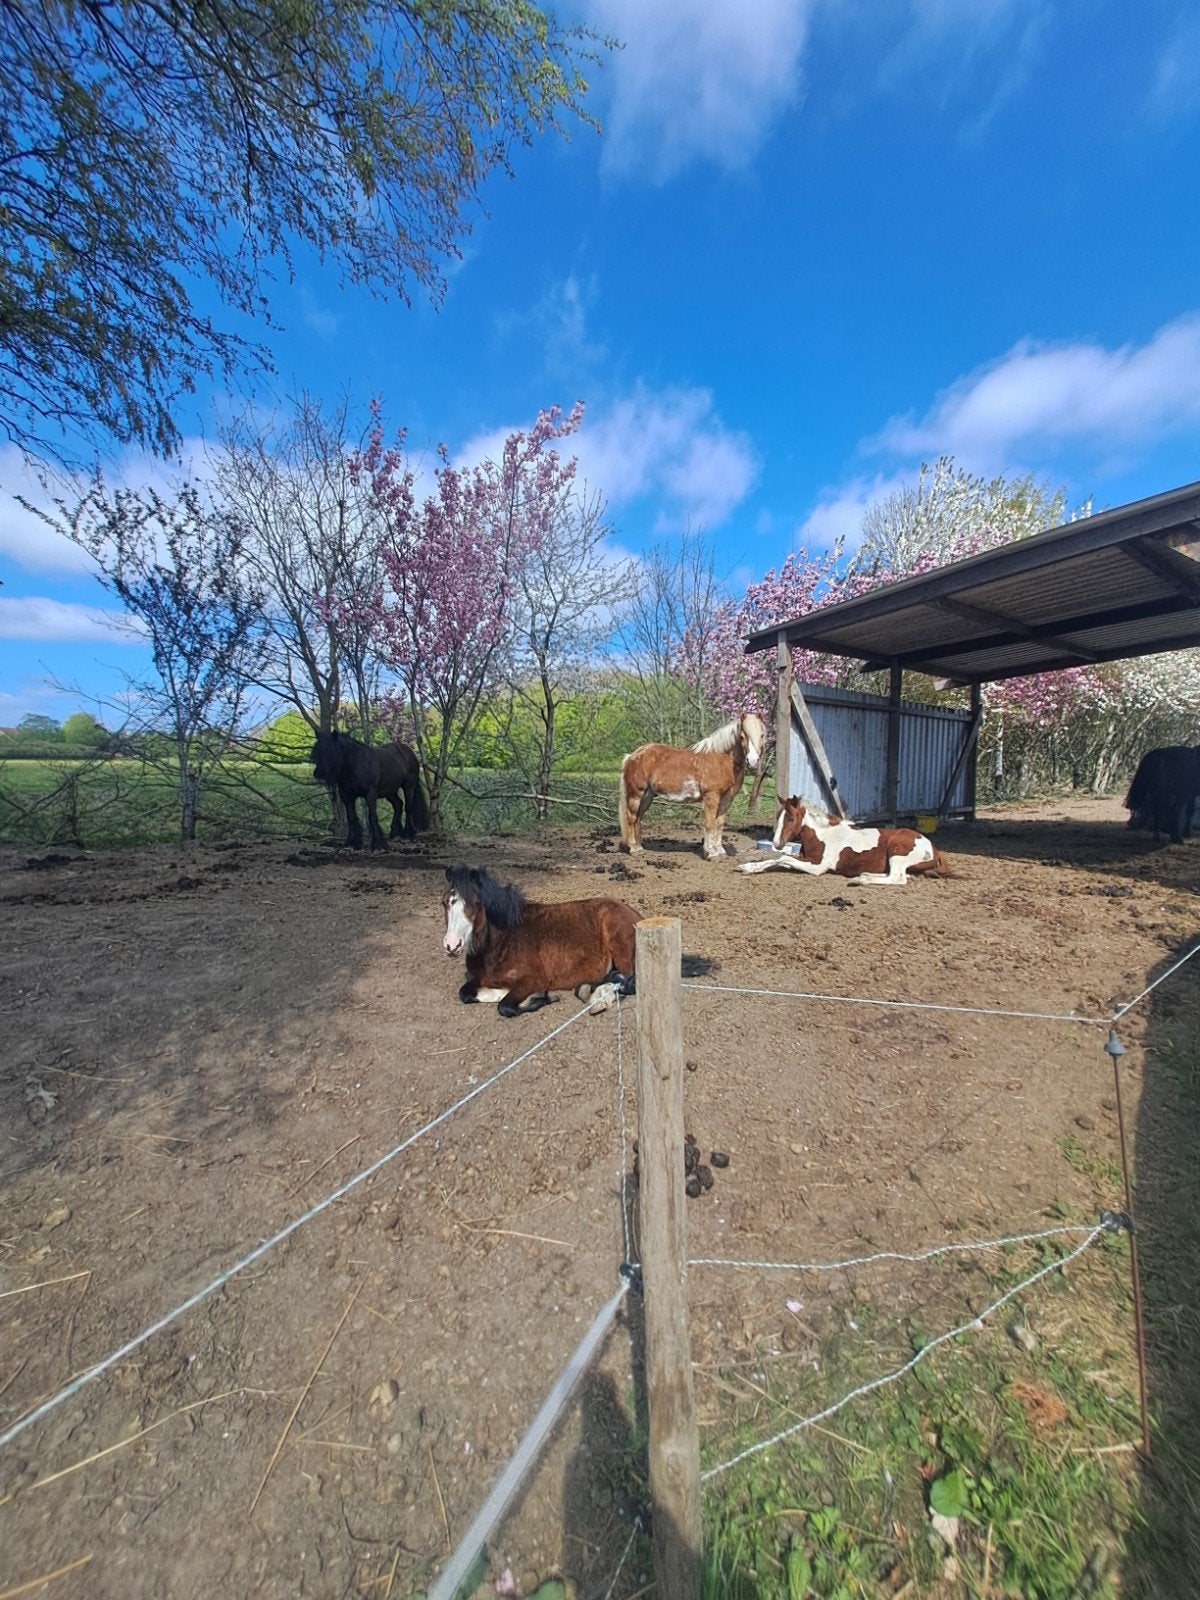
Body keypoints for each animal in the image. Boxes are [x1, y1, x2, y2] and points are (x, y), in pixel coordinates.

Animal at [441, 865, 640, 1017]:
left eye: (476, 902)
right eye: (444, 902)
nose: (452, 945)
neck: (502, 941)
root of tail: (634, 913)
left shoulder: (533, 979)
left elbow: (505, 1006)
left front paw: (543, 997)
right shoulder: (479, 979)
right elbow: (465, 993)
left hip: (620, 947)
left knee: (628, 981)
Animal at [619, 713, 767, 862]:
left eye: (762, 735)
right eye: (742, 736)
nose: (753, 762)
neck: (722, 760)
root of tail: (632, 756)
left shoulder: (727, 798)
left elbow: (719, 823)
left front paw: (720, 851)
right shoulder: (711, 797)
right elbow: (710, 824)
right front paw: (711, 853)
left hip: (647, 796)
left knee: (638, 818)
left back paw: (639, 847)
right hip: (636, 794)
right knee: (631, 818)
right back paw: (634, 849)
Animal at [738, 797, 951, 885]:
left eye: (790, 818)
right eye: (778, 816)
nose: (777, 843)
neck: (821, 836)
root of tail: (934, 848)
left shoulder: (818, 867)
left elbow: (784, 858)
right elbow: (778, 859)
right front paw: (748, 867)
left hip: (897, 852)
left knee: (898, 878)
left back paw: (860, 880)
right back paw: (864, 875)